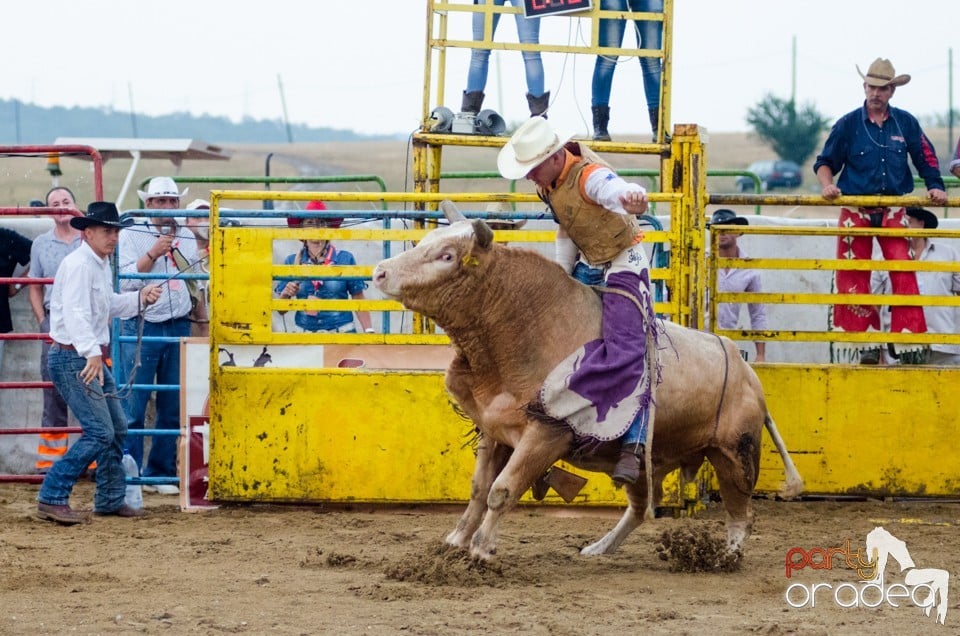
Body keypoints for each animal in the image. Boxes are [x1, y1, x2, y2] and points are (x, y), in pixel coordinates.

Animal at [372, 206, 808, 560]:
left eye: (447, 255)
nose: (380, 272)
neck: (522, 330)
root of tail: (745, 370)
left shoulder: (546, 433)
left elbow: (503, 490)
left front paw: (481, 550)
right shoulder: (493, 430)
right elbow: (480, 489)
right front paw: (456, 543)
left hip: (735, 454)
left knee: (741, 513)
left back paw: (726, 557)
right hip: (645, 463)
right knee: (641, 507)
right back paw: (601, 548)